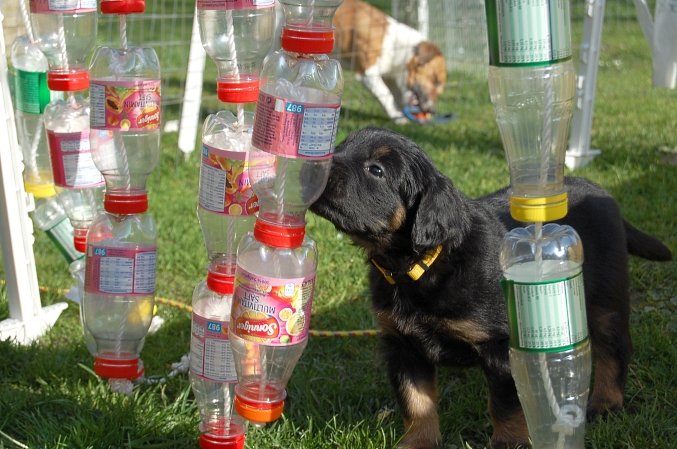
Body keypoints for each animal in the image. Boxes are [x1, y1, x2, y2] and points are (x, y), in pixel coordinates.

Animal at [309, 127, 673, 449]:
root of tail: (605, 194)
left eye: (376, 170)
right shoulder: (402, 345)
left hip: (604, 297)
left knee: (614, 348)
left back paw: (605, 403)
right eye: (340, 146)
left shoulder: (499, 345)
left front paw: (509, 443)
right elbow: (416, 402)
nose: (316, 165)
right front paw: (419, 443)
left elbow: (505, 404)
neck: (421, 264)